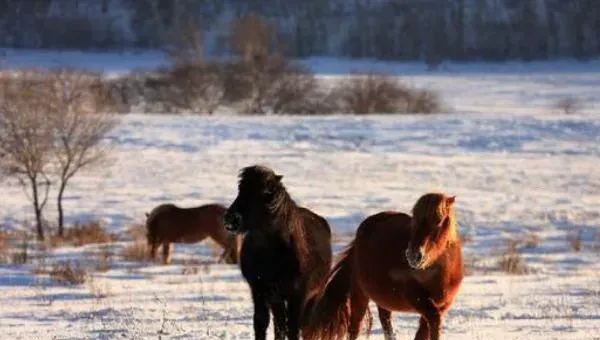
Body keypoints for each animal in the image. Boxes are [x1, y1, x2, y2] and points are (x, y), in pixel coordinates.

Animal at [223, 165, 332, 340]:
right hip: (276, 299)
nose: (230, 219)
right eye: (240, 190)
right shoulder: (259, 291)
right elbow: (262, 323)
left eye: (264, 192)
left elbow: (293, 328)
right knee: (279, 324)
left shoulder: (297, 294)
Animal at [304, 193, 464, 340]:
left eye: (438, 221)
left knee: (385, 321)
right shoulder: (418, 300)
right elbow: (435, 319)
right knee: (355, 327)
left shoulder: (443, 305)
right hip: (360, 294)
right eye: (414, 220)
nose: (413, 255)